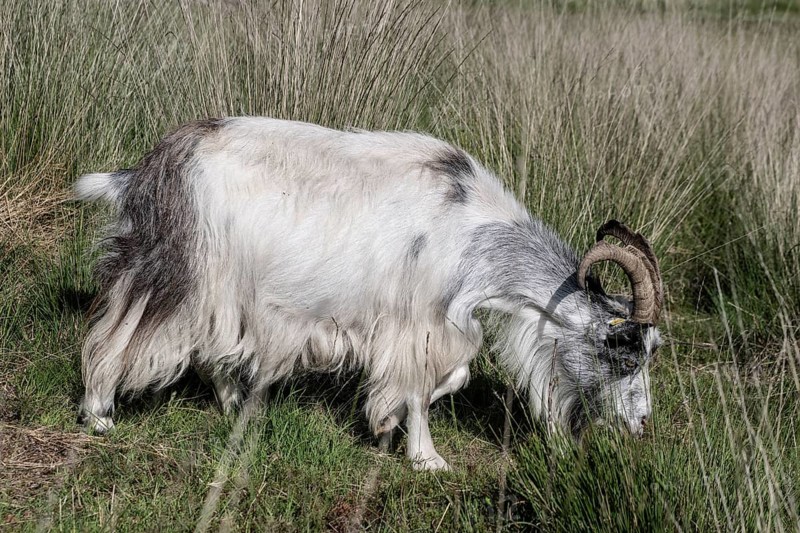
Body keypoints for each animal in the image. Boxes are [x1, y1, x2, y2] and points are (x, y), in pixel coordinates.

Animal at [75, 117, 663, 470]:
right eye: (623, 349)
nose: (641, 425)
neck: (470, 232)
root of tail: (143, 173)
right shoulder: (419, 323)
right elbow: (425, 385)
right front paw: (424, 457)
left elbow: (449, 379)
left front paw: (386, 422)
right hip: (173, 273)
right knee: (113, 336)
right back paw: (100, 414)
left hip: (222, 292)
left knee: (210, 348)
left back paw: (236, 403)